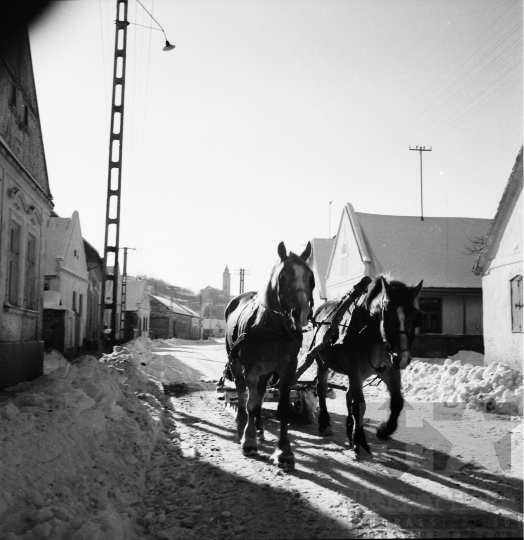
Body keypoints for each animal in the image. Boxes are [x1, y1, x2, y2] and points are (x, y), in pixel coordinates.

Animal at [224, 241, 315, 469]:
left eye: (310, 277)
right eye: (283, 277)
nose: (300, 313)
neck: (273, 327)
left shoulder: (287, 370)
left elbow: (280, 408)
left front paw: (284, 452)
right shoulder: (251, 369)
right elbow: (250, 403)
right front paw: (248, 441)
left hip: (265, 373)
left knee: (261, 395)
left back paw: (259, 427)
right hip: (237, 365)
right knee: (242, 393)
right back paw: (242, 426)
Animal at [310, 275, 423, 458]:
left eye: (415, 315)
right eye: (387, 313)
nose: (403, 358)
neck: (371, 335)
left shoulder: (390, 370)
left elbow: (397, 401)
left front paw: (384, 430)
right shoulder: (355, 371)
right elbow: (359, 404)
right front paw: (360, 441)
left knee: (348, 394)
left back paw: (349, 426)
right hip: (322, 363)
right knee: (321, 389)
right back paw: (325, 422)